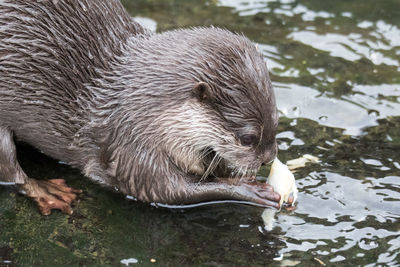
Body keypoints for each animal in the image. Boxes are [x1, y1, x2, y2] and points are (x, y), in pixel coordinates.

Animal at [0, 0, 284, 216]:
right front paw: (251, 189)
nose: (268, 159)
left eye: (277, 120)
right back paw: (47, 190)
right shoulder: (131, 142)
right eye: (248, 139)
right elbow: (165, 189)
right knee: (9, 168)